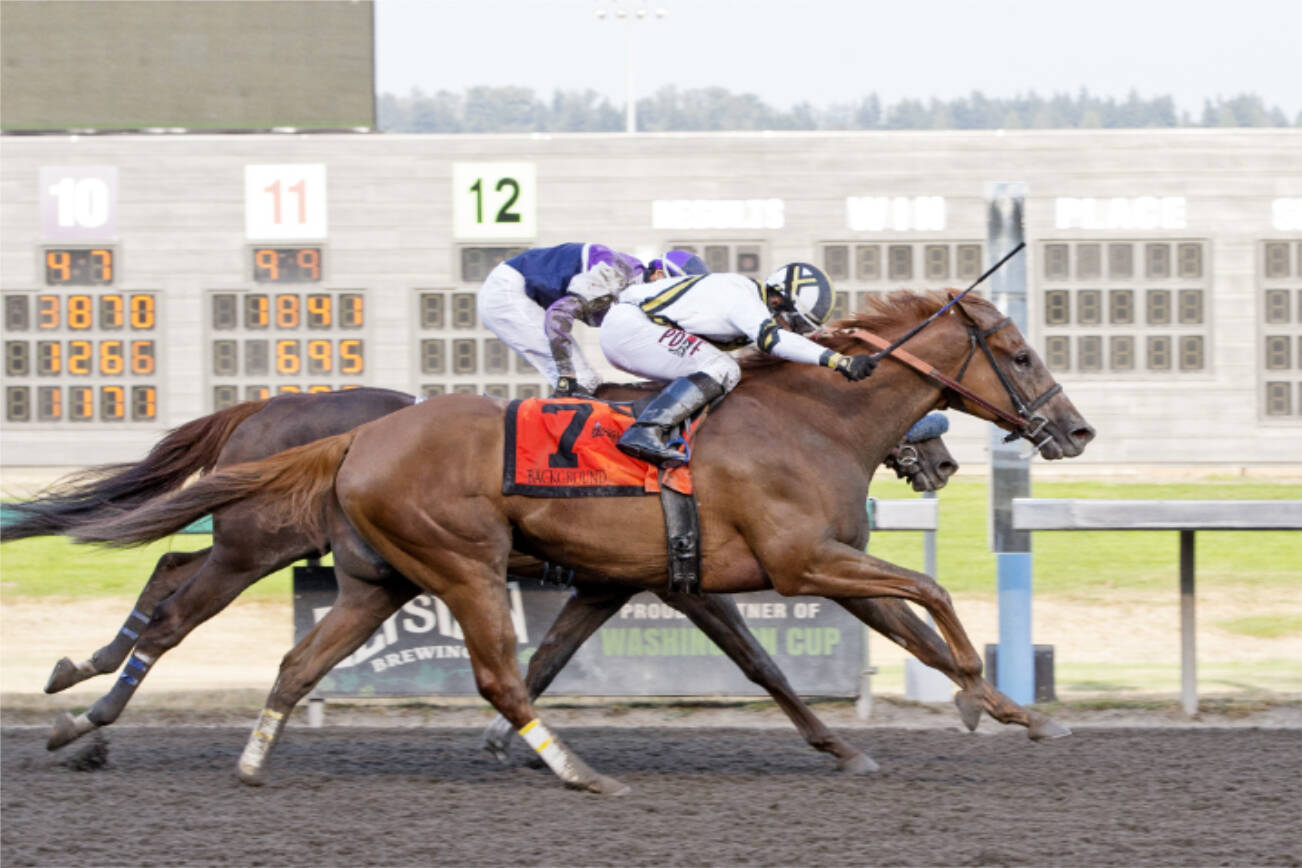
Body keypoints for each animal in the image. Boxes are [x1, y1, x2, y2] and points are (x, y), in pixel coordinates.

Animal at [66, 291, 1093, 796]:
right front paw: (974, 702)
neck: (806, 420)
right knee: (184, 604)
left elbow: (872, 633)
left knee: (281, 645)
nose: (1075, 431)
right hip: (373, 555)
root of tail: (344, 434)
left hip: (374, 575)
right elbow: (904, 612)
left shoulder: (649, 579)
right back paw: (87, 709)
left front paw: (1004, 712)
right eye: (1019, 354)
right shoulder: (785, 563)